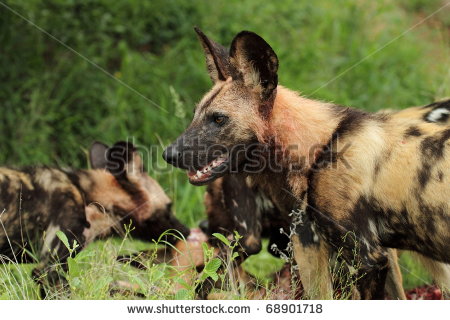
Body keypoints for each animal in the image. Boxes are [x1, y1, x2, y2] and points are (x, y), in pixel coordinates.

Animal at [163, 28, 450, 300]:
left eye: (218, 119)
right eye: (195, 114)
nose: (168, 154)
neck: (317, 147)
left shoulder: (366, 258)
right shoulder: (378, 255)